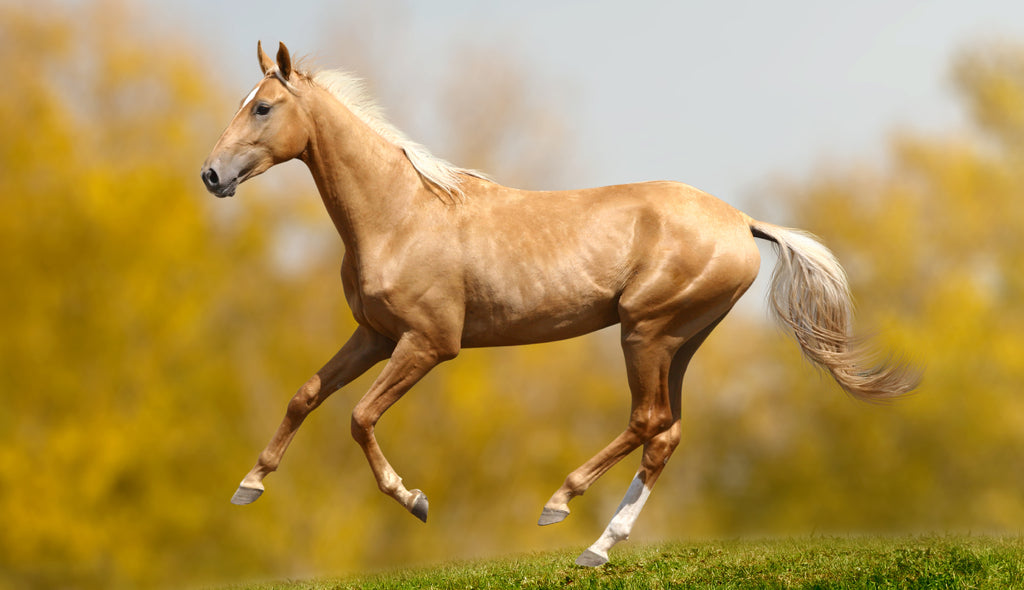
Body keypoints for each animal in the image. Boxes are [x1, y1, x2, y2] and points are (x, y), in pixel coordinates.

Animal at [199, 41, 921, 565]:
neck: (402, 214)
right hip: (680, 340)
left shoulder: (429, 344)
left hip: (644, 332)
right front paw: (248, 487)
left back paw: (560, 502)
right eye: (245, 102)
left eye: (263, 107)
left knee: (647, 420)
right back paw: (598, 550)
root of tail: (743, 222)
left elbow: (359, 417)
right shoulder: (374, 336)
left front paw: (414, 500)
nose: (211, 174)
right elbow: (305, 395)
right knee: (667, 433)